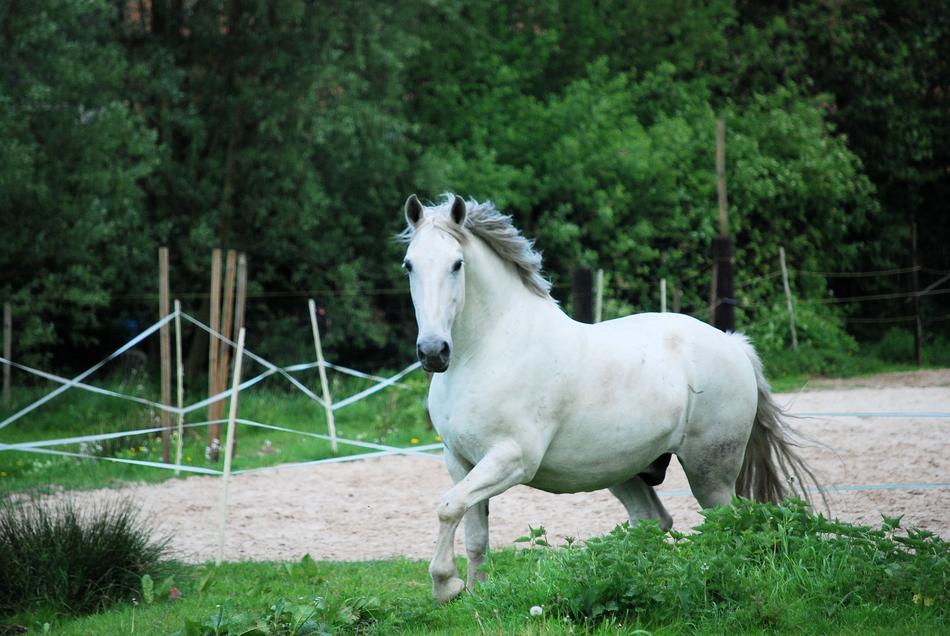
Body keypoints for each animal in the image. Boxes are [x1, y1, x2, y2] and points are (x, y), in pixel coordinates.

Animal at [399, 193, 820, 604]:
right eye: (409, 265)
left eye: (457, 264)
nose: (433, 352)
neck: (487, 350)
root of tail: (734, 344)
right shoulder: (460, 460)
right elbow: (473, 531)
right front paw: (475, 593)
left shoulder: (512, 459)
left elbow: (447, 508)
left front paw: (445, 585)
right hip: (625, 470)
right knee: (653, 521)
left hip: (711, 471)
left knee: (725, 523)